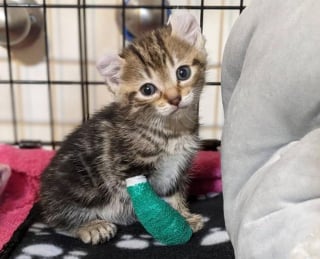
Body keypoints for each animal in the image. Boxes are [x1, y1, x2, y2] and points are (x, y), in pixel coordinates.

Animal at [40, 10, 208, 246]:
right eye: (148, 89)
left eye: (182, 72)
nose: (175, 99)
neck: (172, 130)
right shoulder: (130, 169)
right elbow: (152, 199)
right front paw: (172, 225)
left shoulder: (178, 168)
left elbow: (173, 194)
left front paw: (184, 217)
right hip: (80, 184)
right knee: (56, 219)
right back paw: (90, 226)